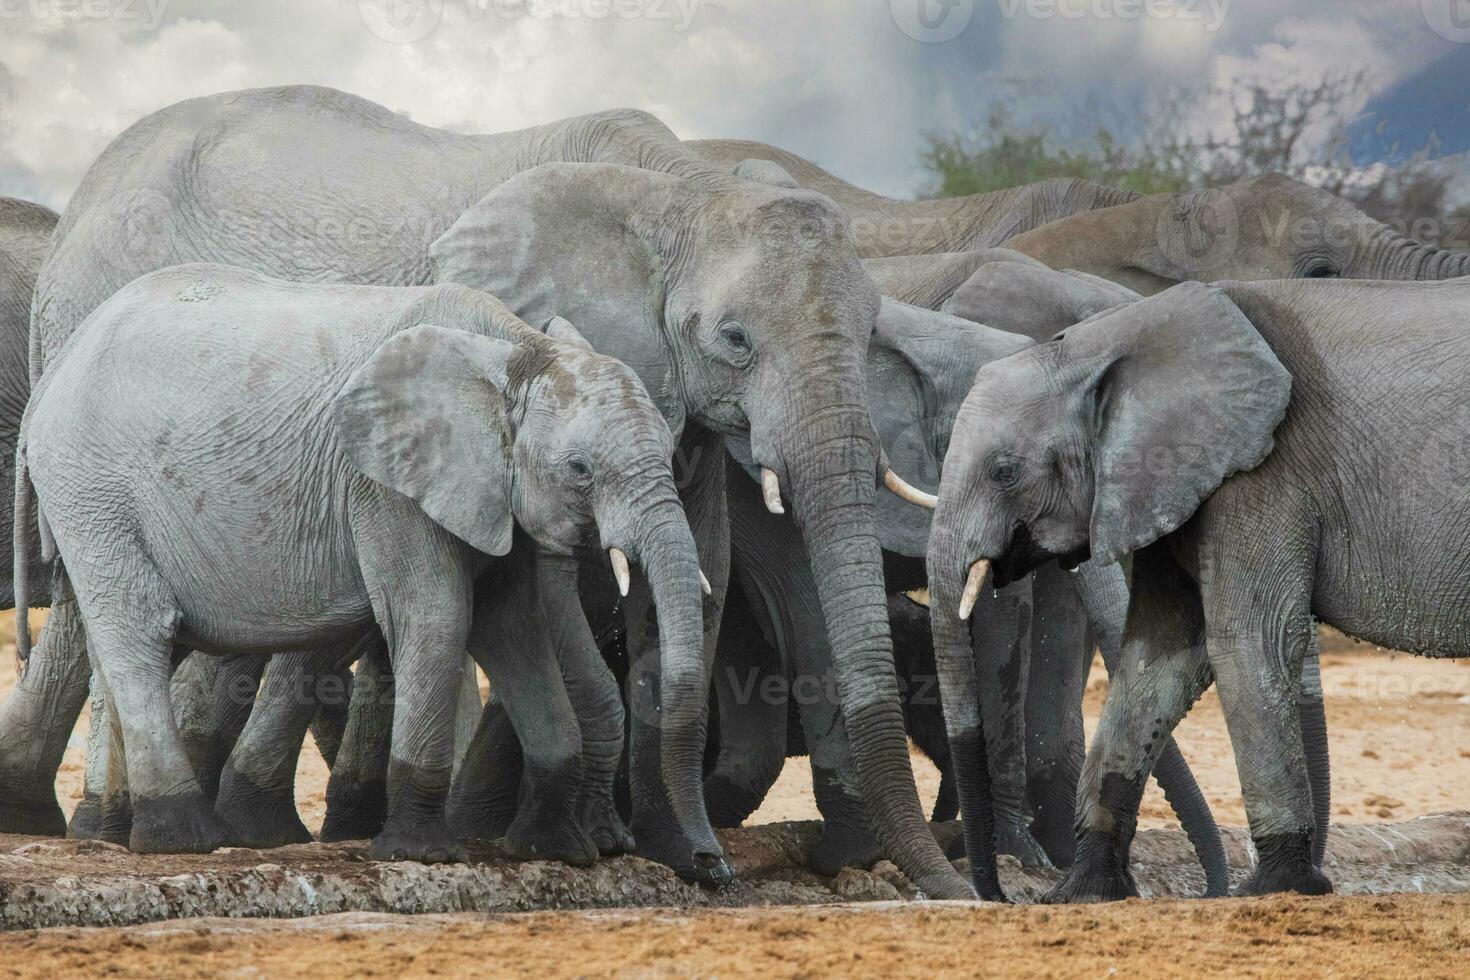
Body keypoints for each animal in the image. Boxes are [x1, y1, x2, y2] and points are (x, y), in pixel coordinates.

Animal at [15, 262, 717, 863]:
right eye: (579, 470)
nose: (711, 866)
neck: (517, 350)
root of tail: (53, 371)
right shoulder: (384, 486)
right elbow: (438, 619)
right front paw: (422, 854)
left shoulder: (489, 495)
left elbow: (513, 628)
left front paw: (558, 852)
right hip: (94, 490)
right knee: (139, 632)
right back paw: (184, 838)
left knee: (129, 643)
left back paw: (114, 834)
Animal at [923, 277, 1470, 905]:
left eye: (1004, 472)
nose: (1006, 895)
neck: (1109, 339)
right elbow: (1159, 659)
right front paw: (1083, 893)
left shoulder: (1260, 474)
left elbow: (1248, 640)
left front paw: (1275, 887)